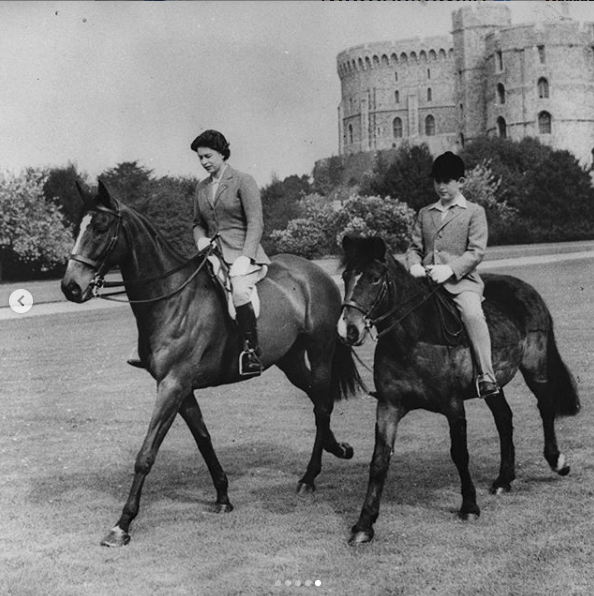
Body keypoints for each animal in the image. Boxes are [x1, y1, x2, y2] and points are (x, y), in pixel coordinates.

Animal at [62, 180, 364, 544]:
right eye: (77, 228)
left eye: (101, 228)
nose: (70, 287)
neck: (172, 297)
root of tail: (317, 273)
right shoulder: (181, 388)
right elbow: (203, 439)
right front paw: (222, 496)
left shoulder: (172, 385)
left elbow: (146, 454)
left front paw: (122, 524)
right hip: (288, 360)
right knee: (317, 398)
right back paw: (338, 449)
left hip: (319, 352)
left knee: (322, 404)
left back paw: (309, 477)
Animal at [338, 235, 580, 544]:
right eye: (346, 276)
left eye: (375, 278)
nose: (349, 330)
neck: (413, 338)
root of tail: (525, 289)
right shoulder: (389, 405)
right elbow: (379, 461)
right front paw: (364, 524)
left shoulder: (453, 406)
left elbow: (460, 454)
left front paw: (469, 506)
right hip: (493, 383)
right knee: (504, 418)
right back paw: (504, 480)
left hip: (535, 366)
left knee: (545, 406)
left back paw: (556, 461)